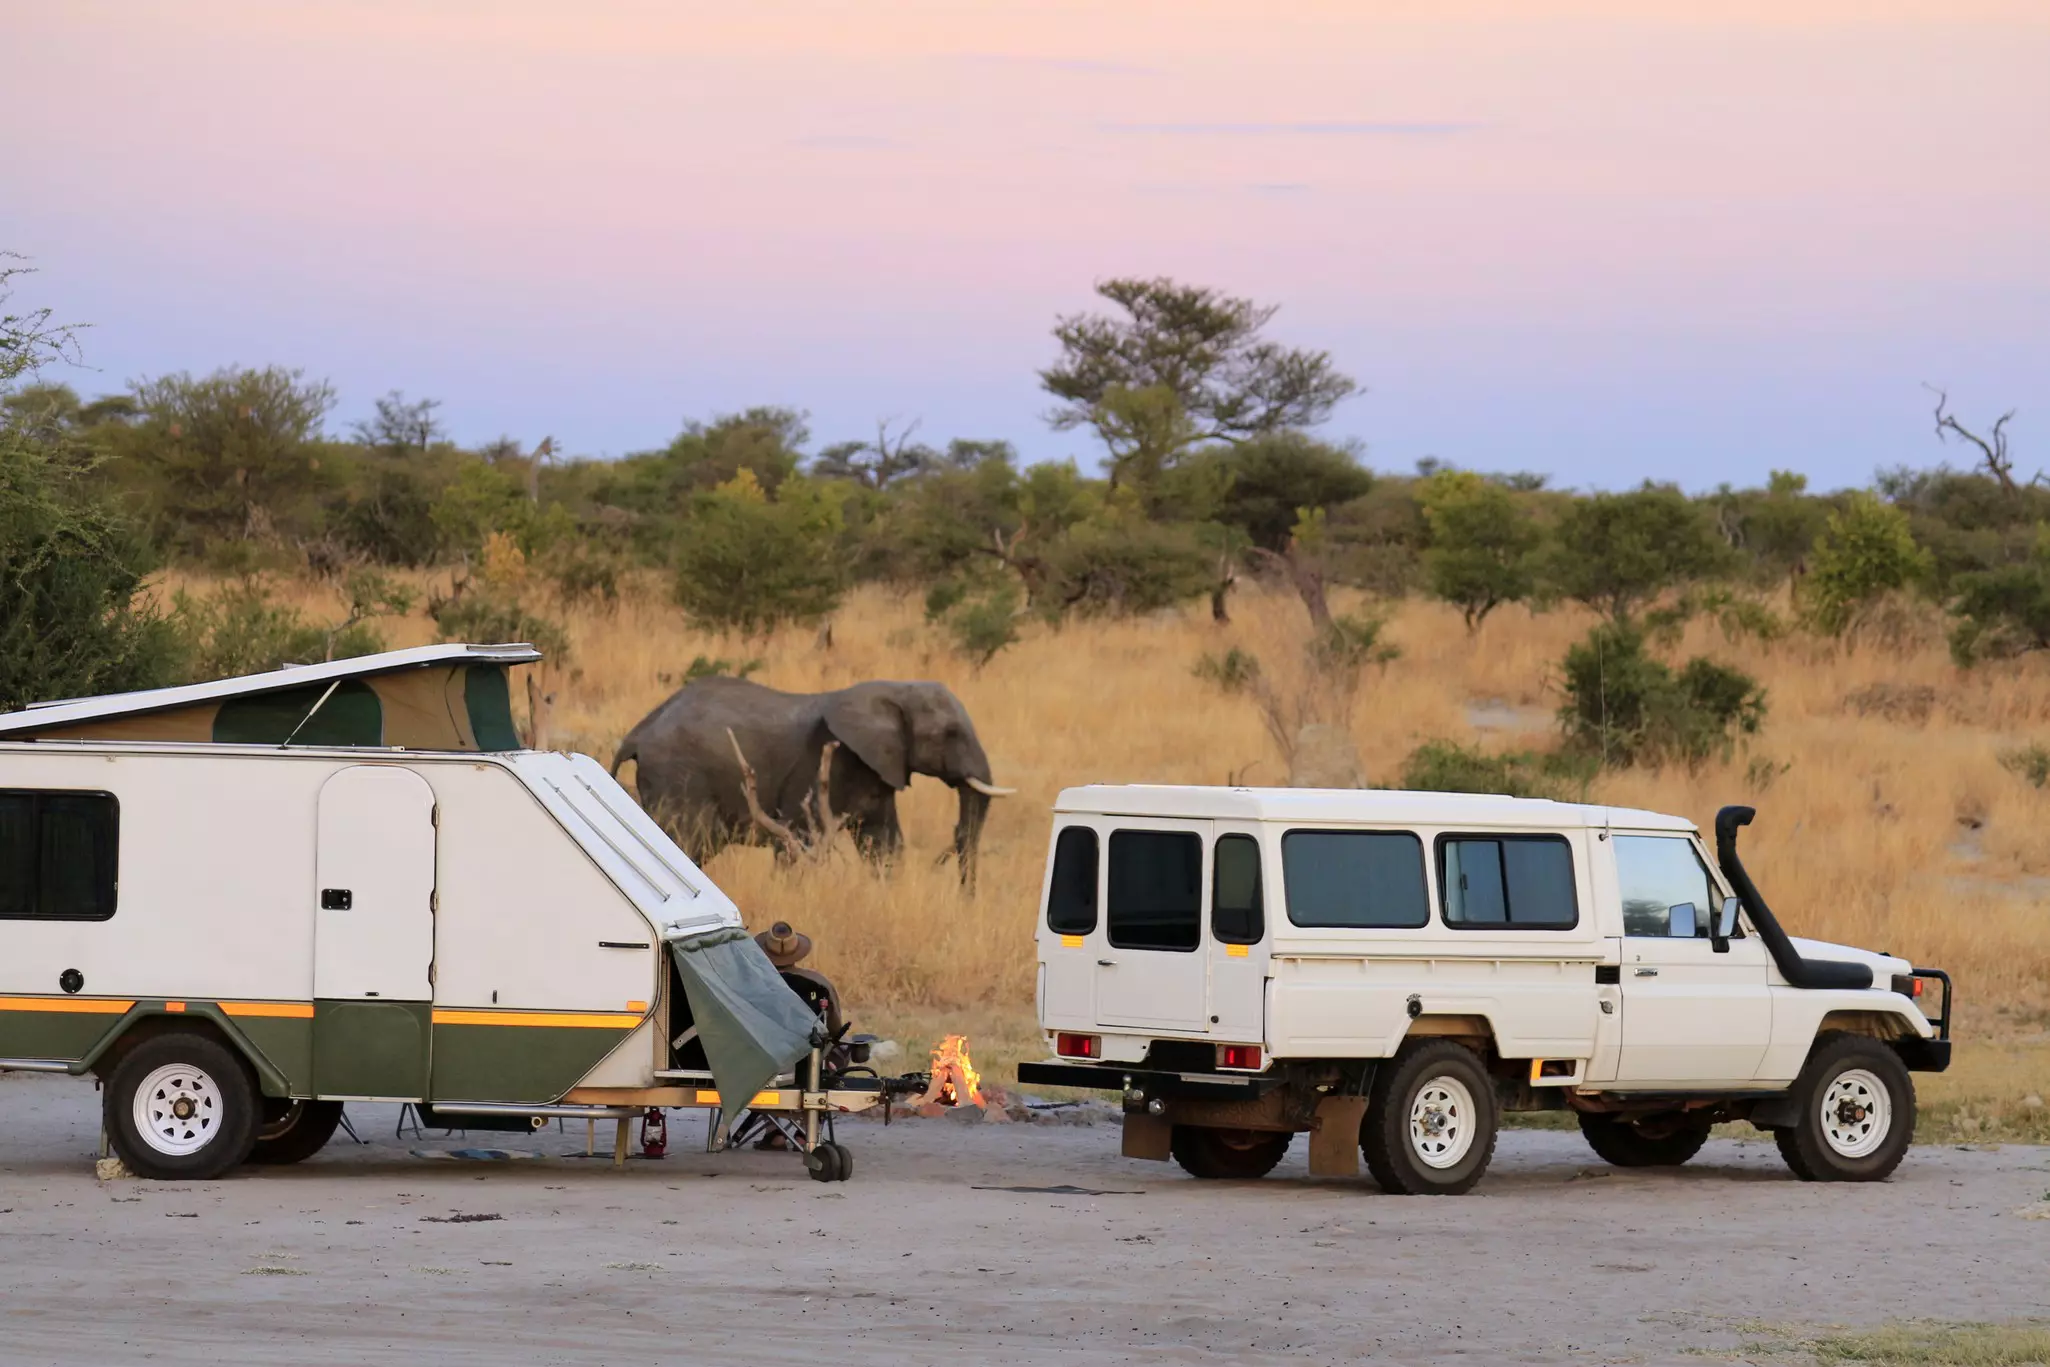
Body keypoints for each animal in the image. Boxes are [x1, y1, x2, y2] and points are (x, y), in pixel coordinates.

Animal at [611, 677, 1013, 880]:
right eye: (950, 733)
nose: (966, 900)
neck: (892, 690)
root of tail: (637, 733)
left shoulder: (877, 769)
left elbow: (883, 843)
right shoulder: (821, 765)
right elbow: (799, 840)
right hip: (678, 778)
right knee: (687, 842)